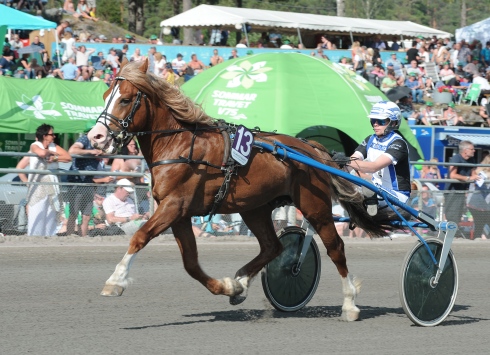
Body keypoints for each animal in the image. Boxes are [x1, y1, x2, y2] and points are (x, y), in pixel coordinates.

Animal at [87, 59, 394, 322]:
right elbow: (191, 263)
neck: (180, 146)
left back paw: (350, 303)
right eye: (105, 95)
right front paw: (229, 287)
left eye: (126, 99)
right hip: (254, 208)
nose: (95, 137)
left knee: (335, 248)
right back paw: (242, 281)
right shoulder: (181, 214)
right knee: (273, 246)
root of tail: (312, 149)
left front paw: (115, 281)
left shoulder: (174, 205)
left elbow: (140, 236)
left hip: (314, 206)